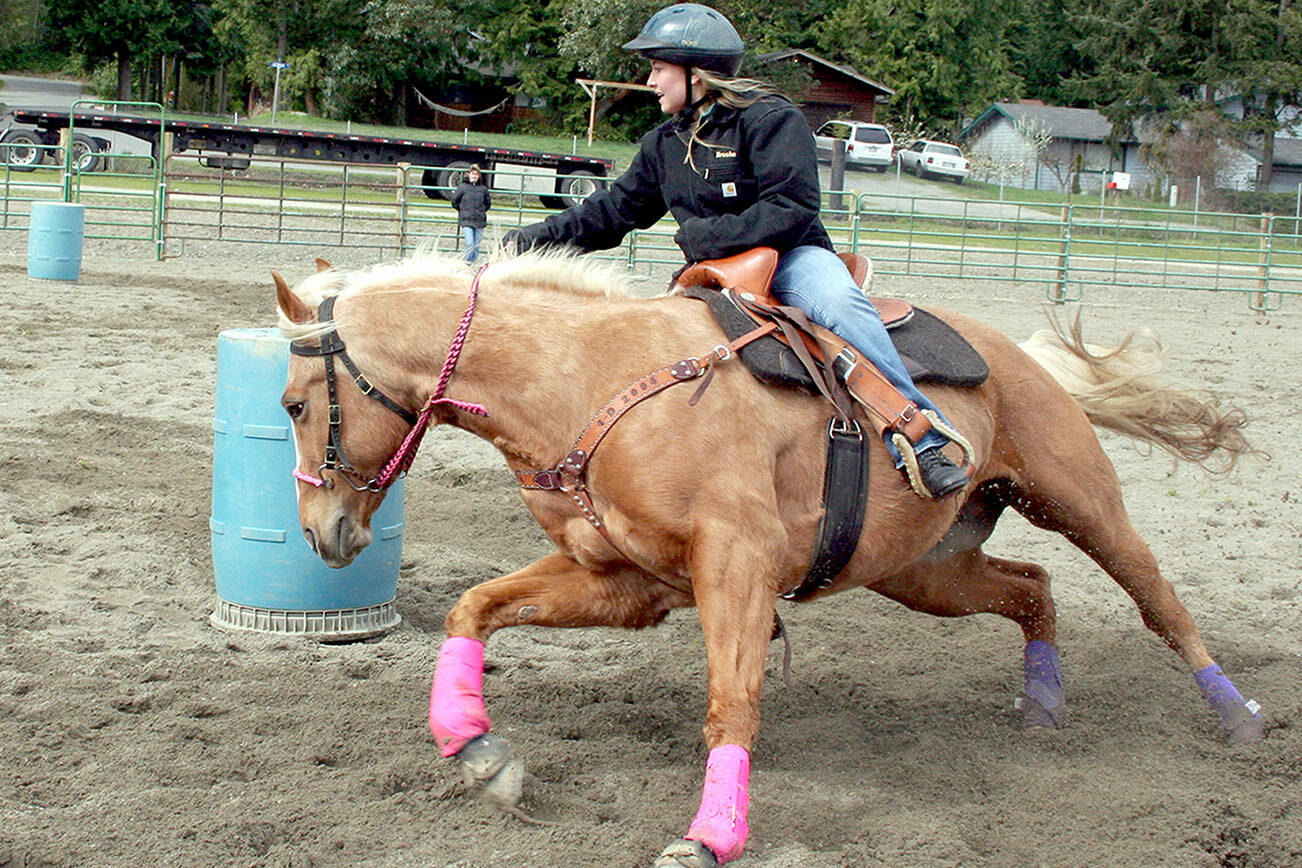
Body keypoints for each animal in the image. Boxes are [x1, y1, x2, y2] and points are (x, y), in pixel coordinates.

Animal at [272, 251, 1266, 868]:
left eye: (291, 403)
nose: (324, 534)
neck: (590, 380)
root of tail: (1019, 353)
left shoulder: (735, 569)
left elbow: (731, 702)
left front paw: (711, 835)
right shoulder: (626, 583)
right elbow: (473, 607)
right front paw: (478, 751)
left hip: (1080, 501)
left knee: (1155, 597)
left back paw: (1238, 719)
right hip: (925, 569)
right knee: (1032, 590)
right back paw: (1045, 706)